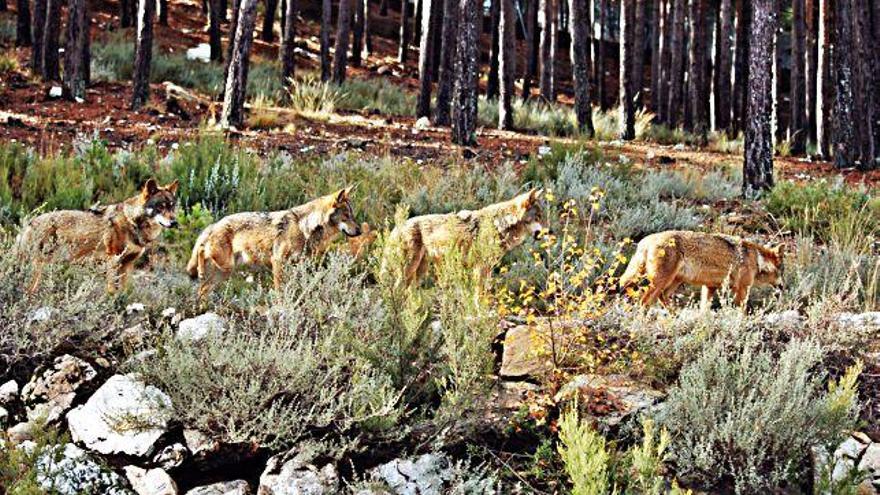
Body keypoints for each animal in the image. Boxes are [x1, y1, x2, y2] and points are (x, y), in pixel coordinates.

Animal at [18, 179, 180, 292]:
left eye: (172, 206)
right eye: (160, 207)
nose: (174, 222)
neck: (132, 222)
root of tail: (30, 223)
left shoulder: (128, 264)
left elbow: (127, 291)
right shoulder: (113, 260)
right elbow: (111, 290)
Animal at [187, 186, 362, 294]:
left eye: (352, 215)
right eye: (346, 216)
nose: (360, 231)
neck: (305, 226)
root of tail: (214, 224)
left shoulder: (297, 264)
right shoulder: (277, 261)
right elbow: (279, 290)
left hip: (226, 269)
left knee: (203, 288)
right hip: (225, 264)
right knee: (201, 252)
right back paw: (199, 272)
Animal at [384, 190, 544, 286]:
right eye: (537, 217)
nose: (544, 233)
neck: (500, 224)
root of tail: (397, 227)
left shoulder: (487, 268)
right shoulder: (481, 268)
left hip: (419, 272)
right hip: (409, 269)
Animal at [620, 231, 784, 308]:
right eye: (782, 271)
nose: (783, 287)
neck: (757, 260)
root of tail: (645, 240)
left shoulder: (709, 287)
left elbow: (704, 309)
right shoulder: (743, 289)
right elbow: (741, 311)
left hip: (674, 282)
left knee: (662, 298)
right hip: (661, 281)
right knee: (644, 301)